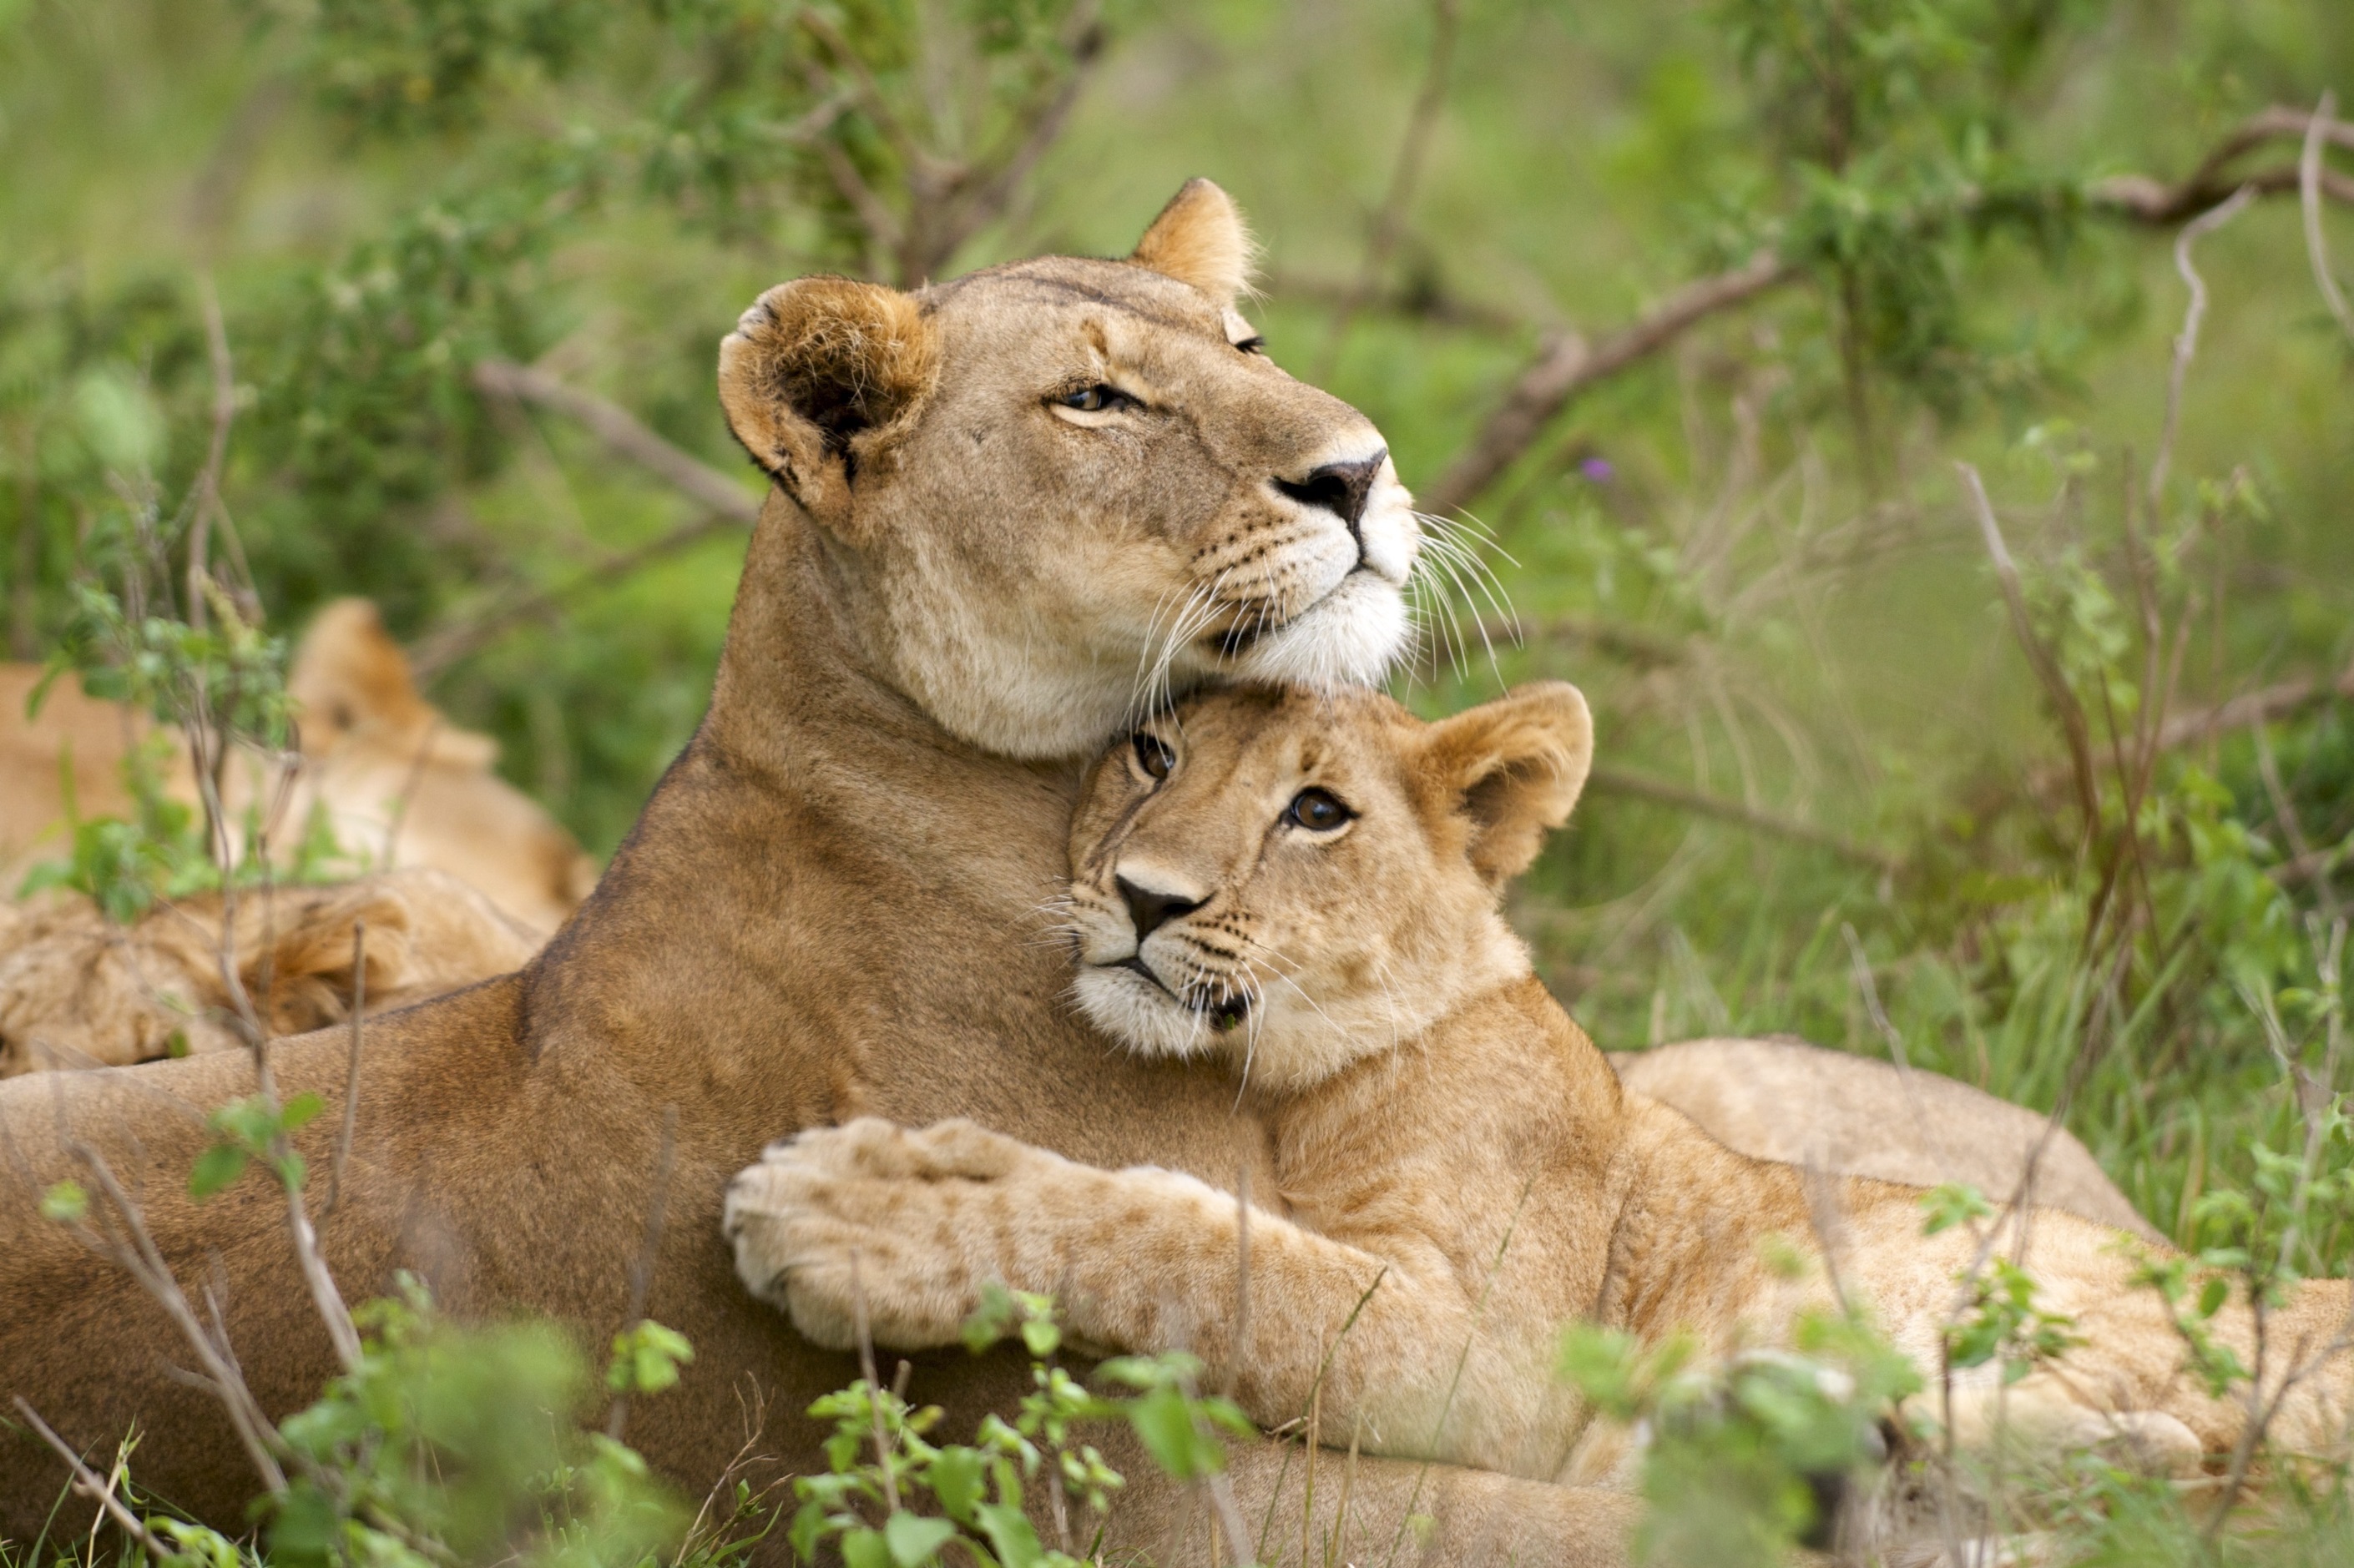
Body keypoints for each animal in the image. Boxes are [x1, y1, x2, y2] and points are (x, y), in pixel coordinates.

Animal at [725, 683, 2344, 1554]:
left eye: (1319, 811)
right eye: (1155, 753)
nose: (1144, 896)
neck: (1300, 1084)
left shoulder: (1490, 1361)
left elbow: (1201, 1246)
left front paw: (854, 1210)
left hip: (1971, 1283)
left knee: (2185, 1464)